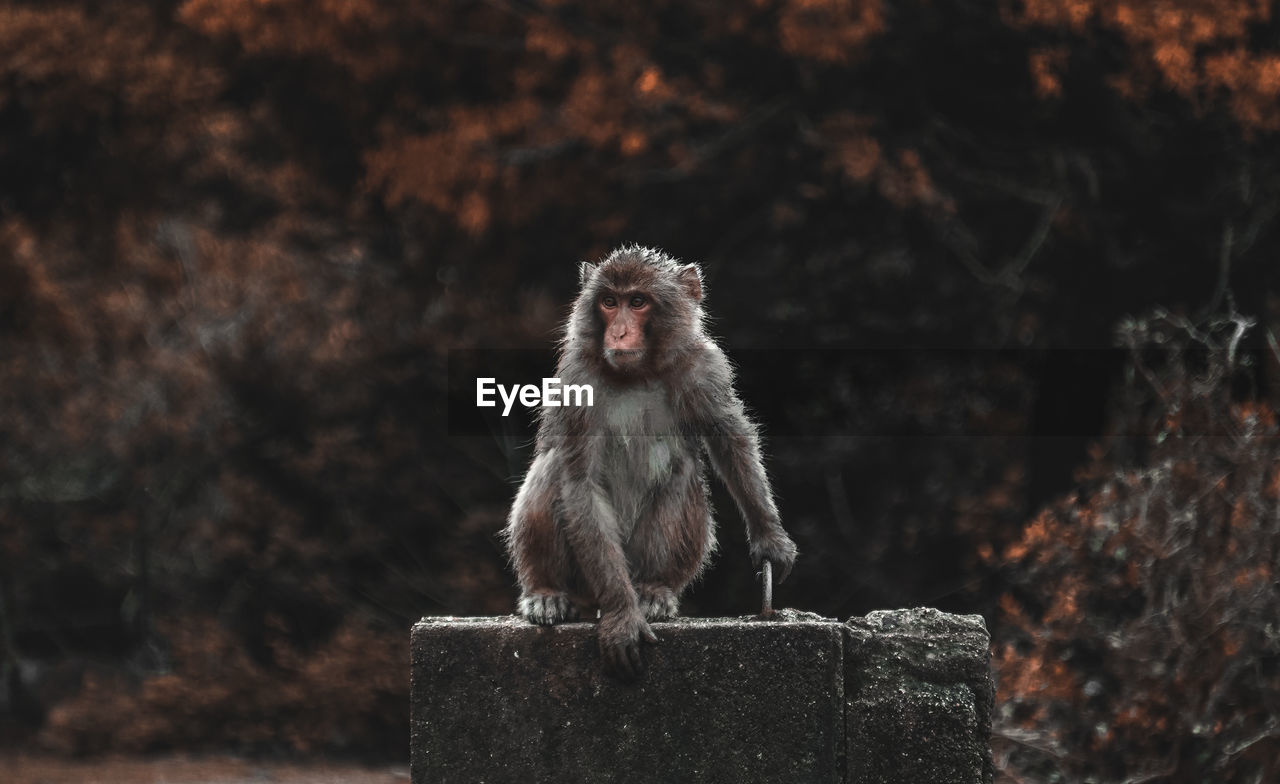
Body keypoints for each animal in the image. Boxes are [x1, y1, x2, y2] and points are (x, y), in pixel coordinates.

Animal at [501, 245, 793, 681]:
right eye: (609, 302)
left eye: (637, 302)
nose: (619, 333)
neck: (636, 373)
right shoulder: (577, 377)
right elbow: (580, 479)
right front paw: (623, 618)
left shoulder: (704, 366)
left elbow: (728, 437)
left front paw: (770, 537)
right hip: (590, 577)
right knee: (553, 470)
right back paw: (548, 592)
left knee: (681, 476)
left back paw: (654, 591)